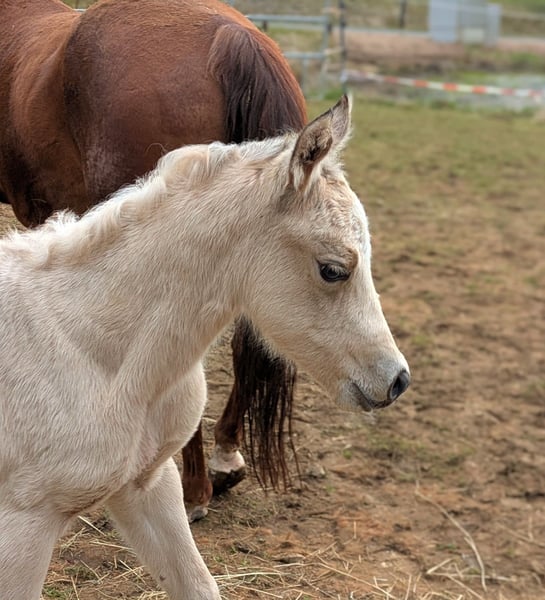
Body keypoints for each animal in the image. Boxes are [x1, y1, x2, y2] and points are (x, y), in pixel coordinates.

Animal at [0, 95, 410, 600]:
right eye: (333, 269)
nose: (396, 379)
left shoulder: (147, 485)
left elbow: (197, 585)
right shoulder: (25, 524)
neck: (93, 351)